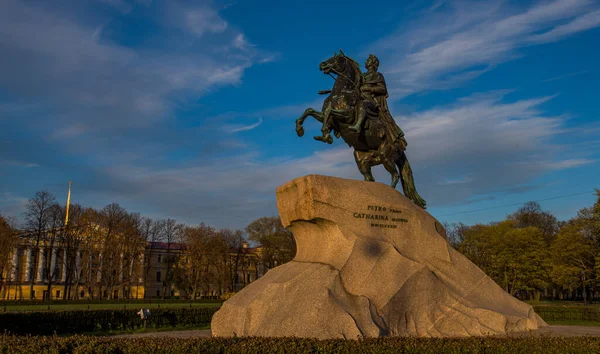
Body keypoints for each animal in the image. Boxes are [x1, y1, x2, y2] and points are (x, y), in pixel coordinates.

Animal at [296, 51, 426, 209]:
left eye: (337, 59)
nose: (322, 64)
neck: (341, 92)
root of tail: (400, 149)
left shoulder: (347, 115)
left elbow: (329, 112)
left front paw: (326, 135)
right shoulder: (327, 117)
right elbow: (310, 111)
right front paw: (300, 129)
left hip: (385, 156)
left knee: (395, 175)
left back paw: (390, 196)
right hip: (362, 160)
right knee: (369, 177)